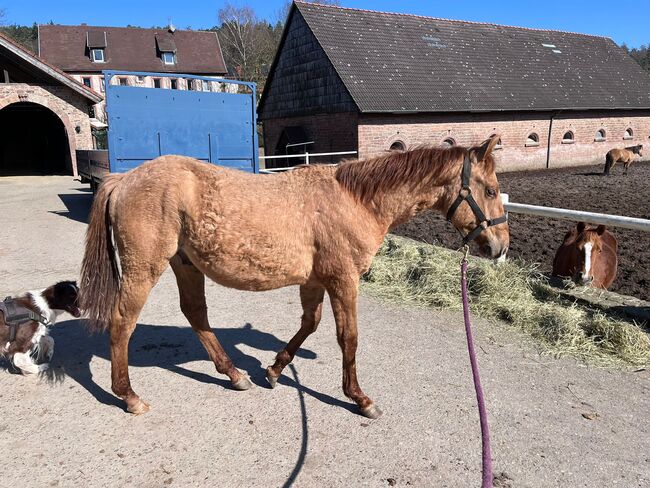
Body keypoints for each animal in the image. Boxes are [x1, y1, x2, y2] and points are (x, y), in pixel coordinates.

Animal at [79, 135, 506, 418]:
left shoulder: (315, 281)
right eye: (489, 190)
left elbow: (309, 325)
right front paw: (359, 397)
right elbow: (348, 338)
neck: (354, 199)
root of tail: (124, 179)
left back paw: (235, 374)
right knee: (123, 323)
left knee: (196, 314)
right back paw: (129, 396)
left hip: (185, 264)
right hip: (143, 269)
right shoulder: (343, 281)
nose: (500, 247)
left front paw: (273, 370)